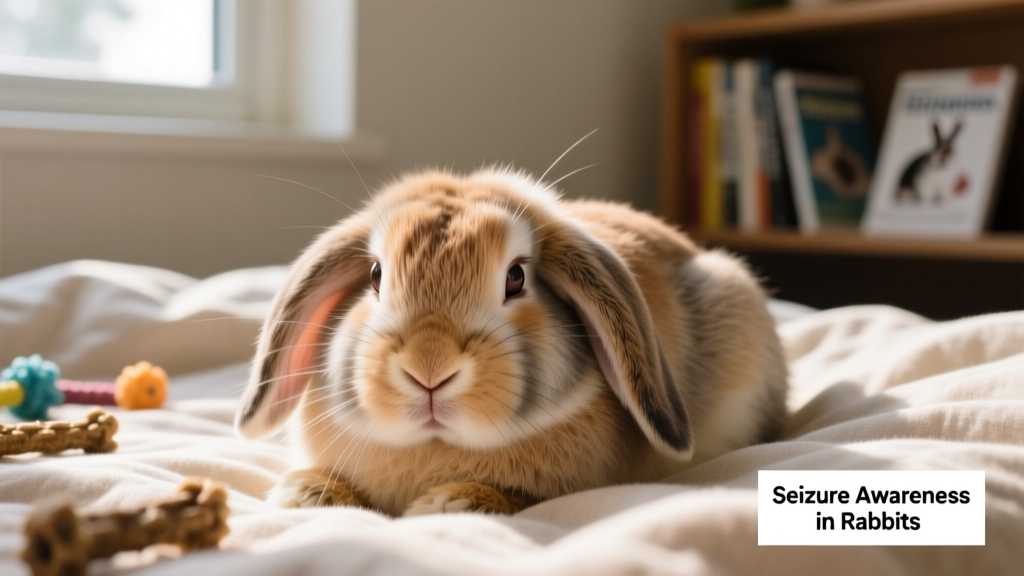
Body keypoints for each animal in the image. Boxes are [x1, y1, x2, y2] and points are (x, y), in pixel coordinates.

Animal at [234, 167, 788, 517]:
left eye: (516, 278)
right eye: (374, 275)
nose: (429, 369)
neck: (436, 446)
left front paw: (449, 504)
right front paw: (304, 496)